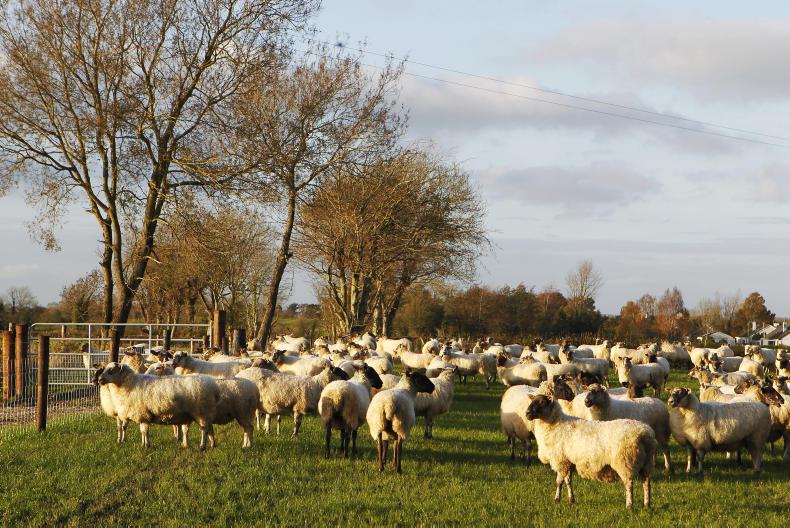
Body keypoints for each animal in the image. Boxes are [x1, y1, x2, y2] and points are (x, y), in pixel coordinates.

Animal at [525, 394, 657, 510]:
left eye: (542, 402)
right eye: (532, 400)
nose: (527, 413)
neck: (555, 424)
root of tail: (644, 433)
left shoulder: (560, 461)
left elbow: (559, 482)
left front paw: (556, 499)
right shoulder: (568, 461)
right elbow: (568, 481)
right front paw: (571, 500)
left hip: (625, 462)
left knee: (629, 485)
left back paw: (629, 506)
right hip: (647, 463)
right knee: (647, 483)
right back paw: (647, 505)